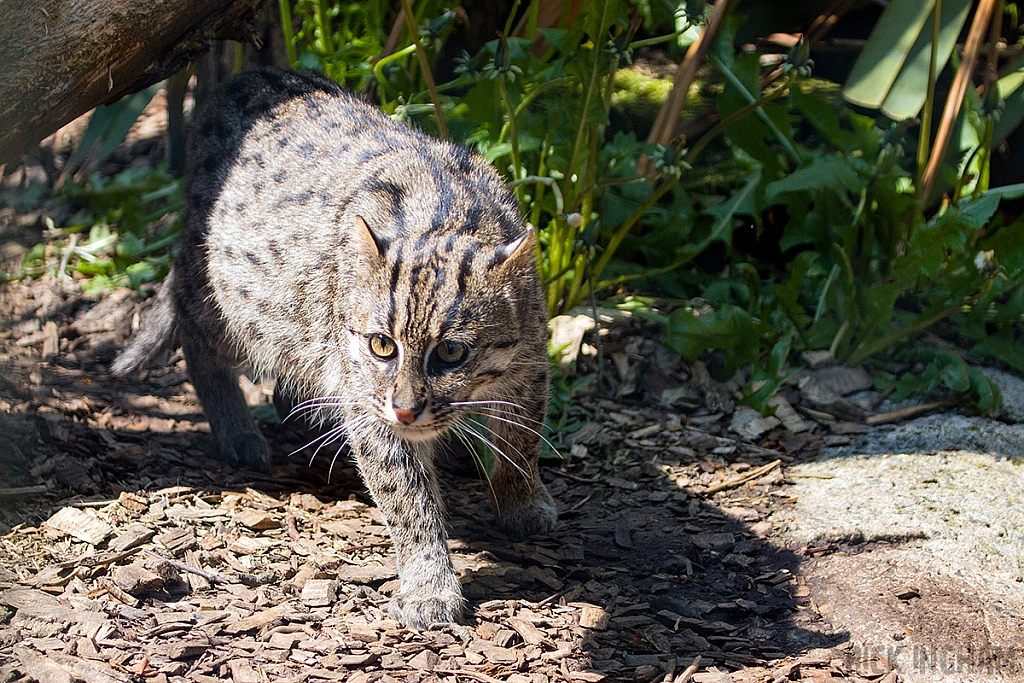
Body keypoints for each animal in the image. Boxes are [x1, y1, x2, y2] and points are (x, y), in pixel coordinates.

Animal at [112, 66, 557, 626]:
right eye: (382, 346)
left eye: (453, 353)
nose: (406, 411)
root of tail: (247, 77)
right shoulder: (369, 400)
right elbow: (406, 495)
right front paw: (430, 585)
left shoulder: (531, 363)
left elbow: (522, 439)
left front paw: (522, 500)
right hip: (234, 296)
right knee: (196, 336)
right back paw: (237, 431)